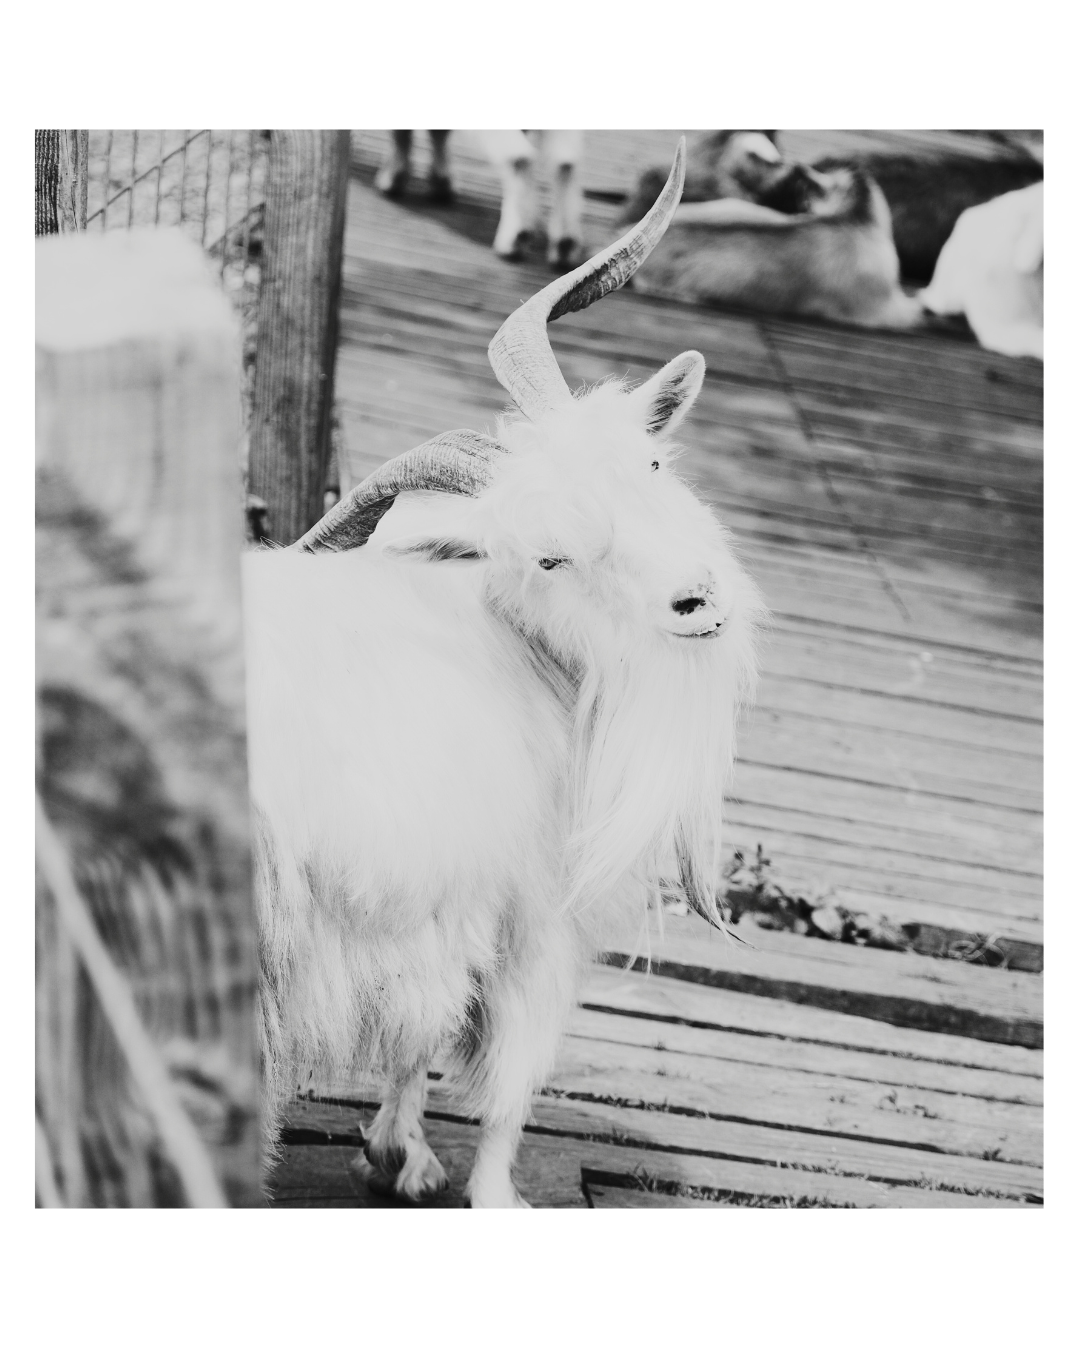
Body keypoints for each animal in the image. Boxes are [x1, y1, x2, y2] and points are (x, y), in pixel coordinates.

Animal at [375, 130, 585, 266]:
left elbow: (401, 134)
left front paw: (391, 179)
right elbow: (439, 132)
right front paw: (442, 183)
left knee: (519, 156)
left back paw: (513, 241)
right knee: (565, 163)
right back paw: (564, 245)